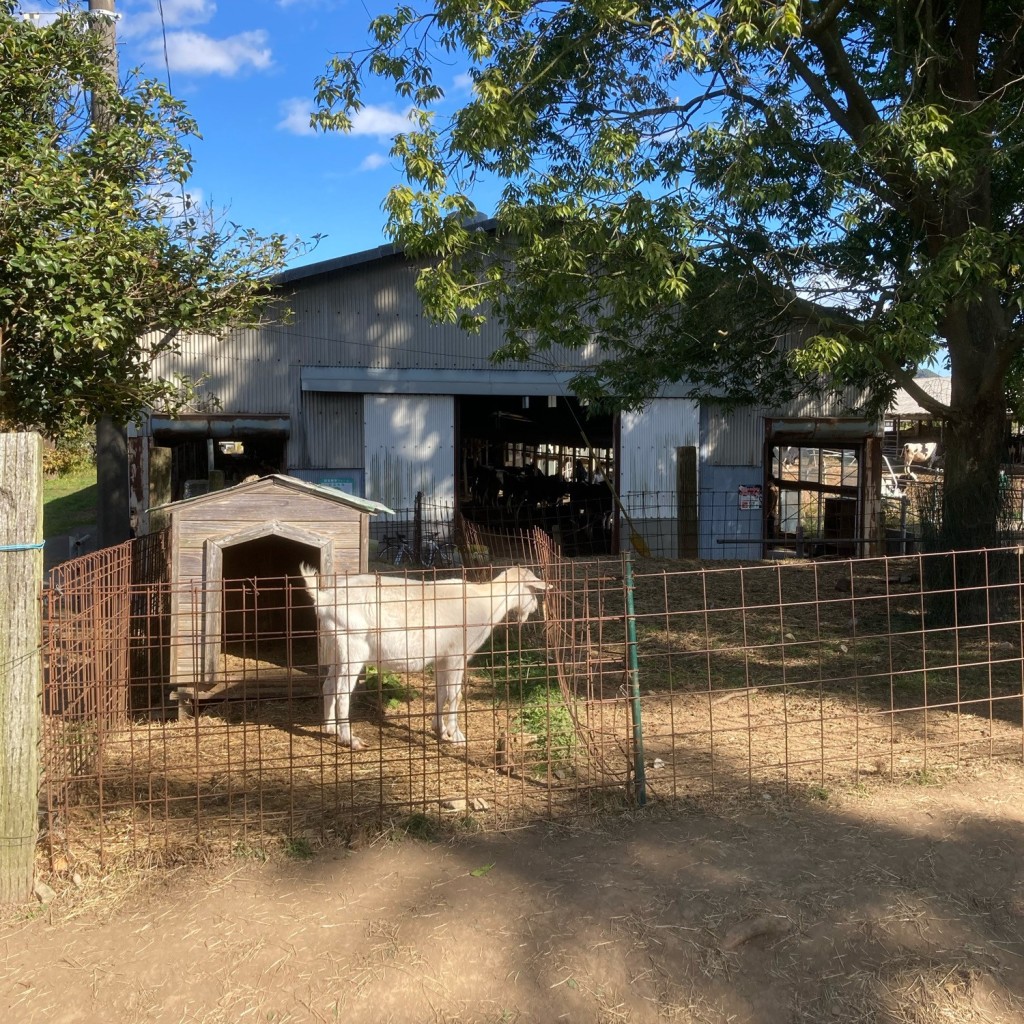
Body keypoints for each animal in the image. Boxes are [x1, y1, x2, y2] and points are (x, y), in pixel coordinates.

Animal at [299, 565, 548, 749]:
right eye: (533, 590)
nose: (535, 608)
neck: (485, 602)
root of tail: (325, 599)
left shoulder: (441, 658)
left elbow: (441, 693)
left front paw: (439, 729)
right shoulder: (457, 655)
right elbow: (455, 695)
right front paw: (457, 736)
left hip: (337, 651)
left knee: (328, 686)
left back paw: (330, 728)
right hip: (353, 647)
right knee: (342, 691)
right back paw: (350, 739)